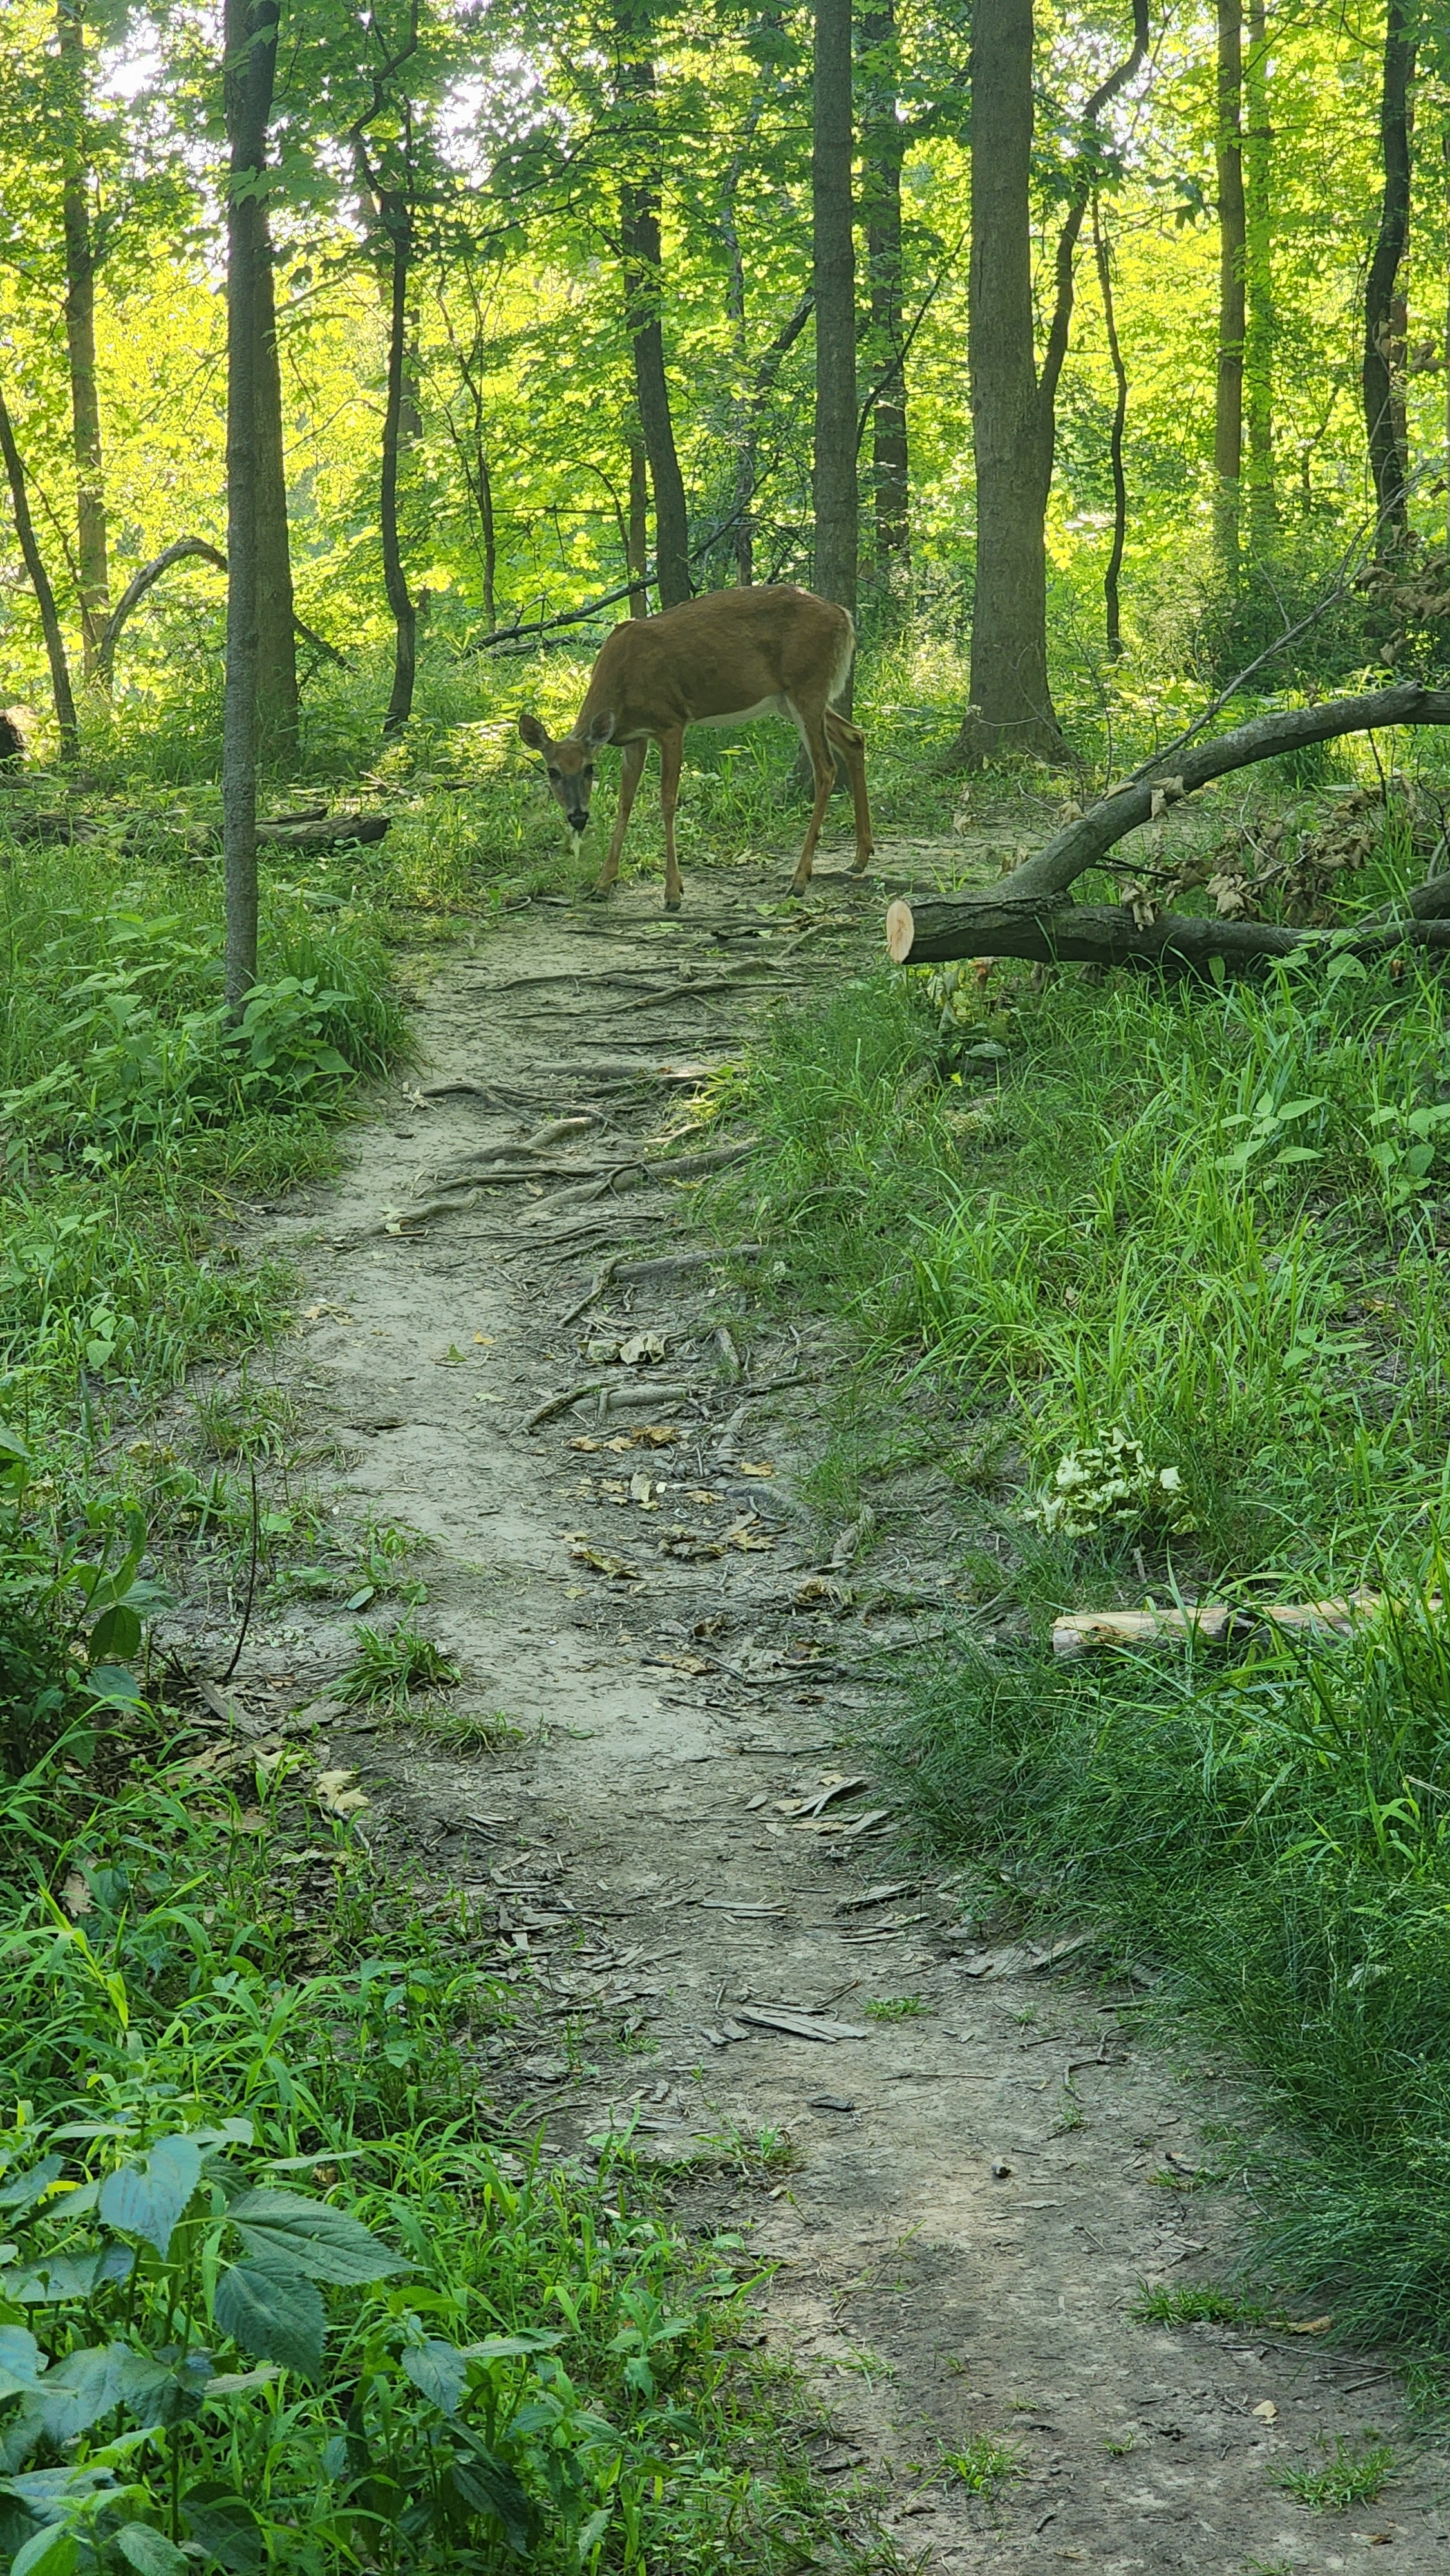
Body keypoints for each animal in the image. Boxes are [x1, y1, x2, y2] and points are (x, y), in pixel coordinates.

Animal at [520, 582, 876, 907]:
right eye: (552, 772)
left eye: (589, 769)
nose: (578, 817)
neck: (620, 685)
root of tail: (844, 616)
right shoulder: (634, 737)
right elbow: (625, 802)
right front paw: (603, 884)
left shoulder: (671, 722)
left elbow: (667, 801)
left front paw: (672, 893)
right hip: (788, 700)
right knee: (855, 737)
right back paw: (860, 857)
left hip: (807, 686)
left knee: (826, 768)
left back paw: (800, 878)